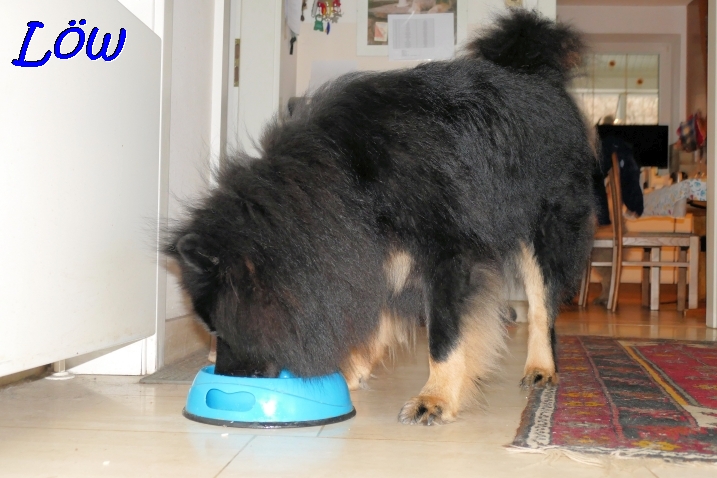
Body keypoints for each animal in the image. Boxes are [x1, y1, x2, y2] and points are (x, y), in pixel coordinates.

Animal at [166, 9, 592, 424]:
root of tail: (539, 75)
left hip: (543, 228)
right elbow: (378, 314)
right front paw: (352, 372)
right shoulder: (371, 250)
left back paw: (541, 367)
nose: (226, 377)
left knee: (541, 304)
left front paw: (436, 398)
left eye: (219, 326)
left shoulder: (451, 253)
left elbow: (445, 335)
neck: (347, 176)